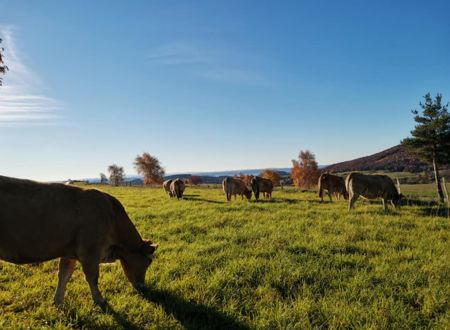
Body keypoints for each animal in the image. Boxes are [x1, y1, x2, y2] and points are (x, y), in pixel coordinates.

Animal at [0, 175, 158, 306]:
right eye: (149, 261)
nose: (143, 286)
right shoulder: (90, 250)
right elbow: (92, 277)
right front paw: (100, 300)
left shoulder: (69, 252)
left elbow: (64, 276)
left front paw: (58, 302)